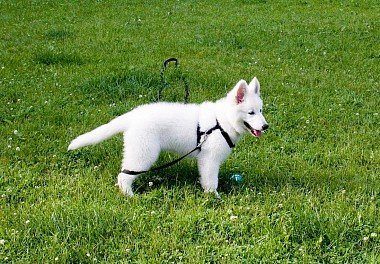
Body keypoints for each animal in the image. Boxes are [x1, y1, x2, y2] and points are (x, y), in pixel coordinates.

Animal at [69, 76, 270, 196]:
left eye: (260, 111)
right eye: (251, 113)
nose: (266, 126)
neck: (222, 121)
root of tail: (133, 115)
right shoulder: (210, 160)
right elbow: (212, 182)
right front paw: (214, 198)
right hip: (144, 154)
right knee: (123, 175)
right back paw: (130, 196)